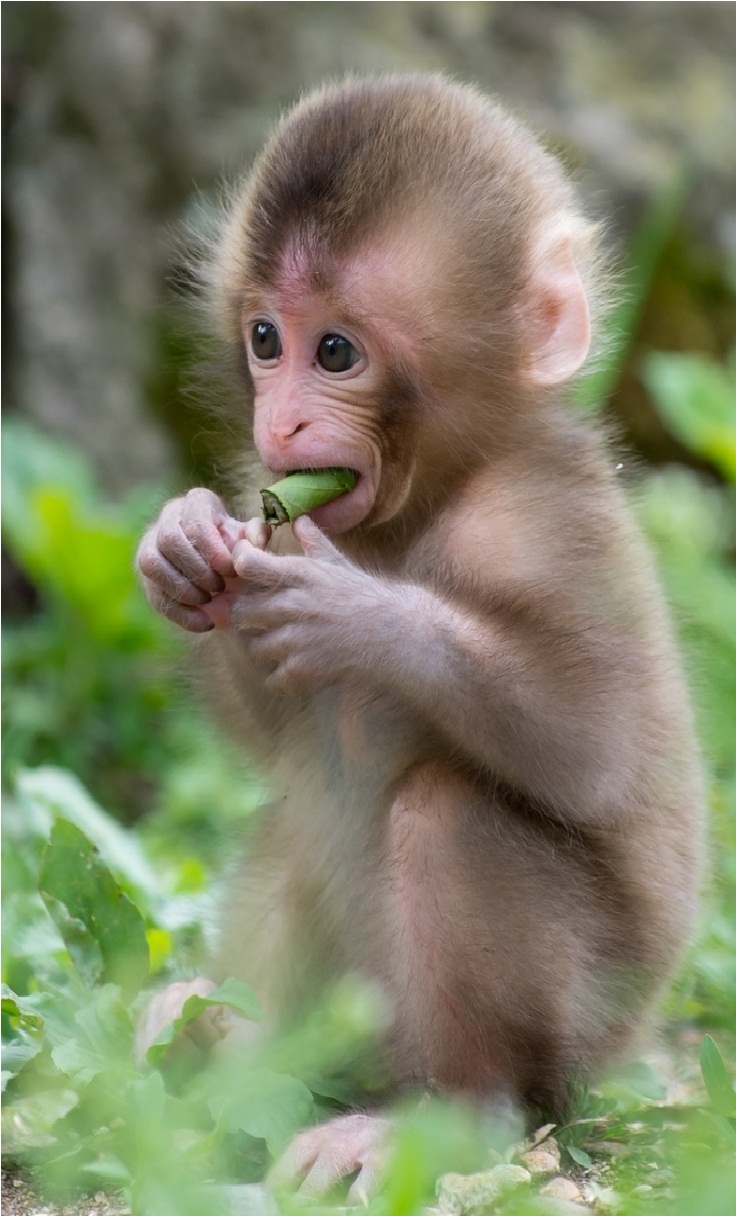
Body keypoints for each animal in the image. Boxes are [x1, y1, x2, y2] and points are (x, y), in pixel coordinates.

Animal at [135, 75, 703, 1199]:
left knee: (447, 812)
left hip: (585, 1031)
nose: (282, 423)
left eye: (336, 352)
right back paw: (226, 1041)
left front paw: (358, 614)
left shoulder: (541, 515)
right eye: (264, 340)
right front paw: (185, 546)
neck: (433, 490)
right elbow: (270, 722)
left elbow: (595, 740)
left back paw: (450, 1116)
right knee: (299, 811)